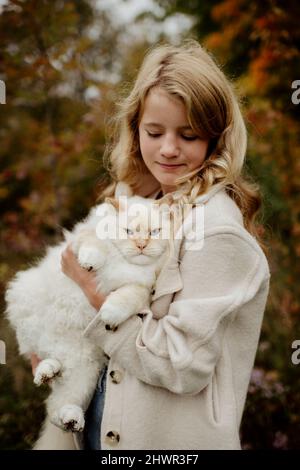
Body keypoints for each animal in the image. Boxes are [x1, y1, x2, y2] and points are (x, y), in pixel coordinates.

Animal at [4, 182, 175, 436]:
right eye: (128, 232)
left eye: (154, 232)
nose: (142, 245)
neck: (125, 262)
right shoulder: (82, 238)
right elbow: (94, 242)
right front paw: (90, 262)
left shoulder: (142, 290)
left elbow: (125, 298)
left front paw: (108, 315)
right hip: (28, 306)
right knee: (43, 360)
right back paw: (47, 373)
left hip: (85, 371)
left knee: (59, 404)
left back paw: (70, 415)